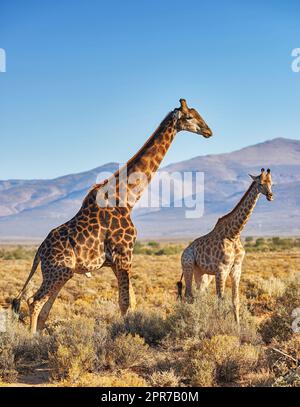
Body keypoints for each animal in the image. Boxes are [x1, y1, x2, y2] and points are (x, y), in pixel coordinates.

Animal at [12, 99, 213, 334]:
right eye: (189, 117)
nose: (208, 131)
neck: (126, 199)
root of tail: (39, 252)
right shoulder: (124, 254)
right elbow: (125, 302)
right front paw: (126, 334)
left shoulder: (118, 261)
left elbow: (130, 300)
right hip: (56, 271)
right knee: (34, 301)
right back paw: (30, 338)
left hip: (62, 272)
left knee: (45, 307)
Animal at [178, 168, 274, 326]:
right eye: (260, 183)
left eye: (271, 183)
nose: (271, 196)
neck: (234, 234)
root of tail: (184, 251)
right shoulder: (221, 270)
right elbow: (220, 300)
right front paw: (221, 325)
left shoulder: (236, 269)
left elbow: (235, 300)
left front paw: (237, 326)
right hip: (188, 266)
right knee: (188, 295)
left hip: (203, 274)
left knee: (198, 295)